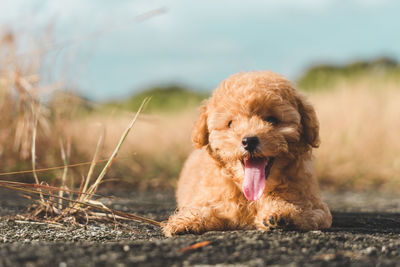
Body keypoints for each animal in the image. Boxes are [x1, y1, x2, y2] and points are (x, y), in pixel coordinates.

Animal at [162, 71, 332, 237]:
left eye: (272, 120)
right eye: (230, 123)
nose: (249, 141)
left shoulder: (316, 206)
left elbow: (306, 211)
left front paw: (280, 213)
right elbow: (207, 209)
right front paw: (185, 221)